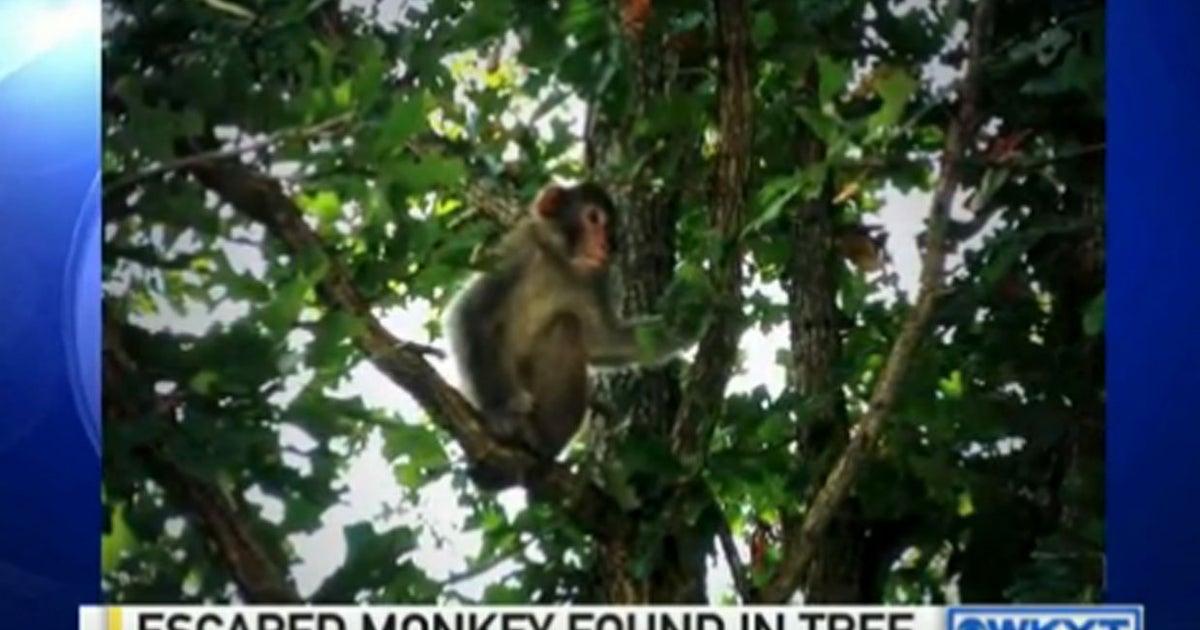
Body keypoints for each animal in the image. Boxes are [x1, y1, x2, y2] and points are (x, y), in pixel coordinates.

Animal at [444, 182, 695, 491]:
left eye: (610, 228)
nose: (606, 245)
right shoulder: (519, 252)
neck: (561, 261)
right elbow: (472, 313)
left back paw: (543, 441)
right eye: (593, 218)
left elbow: (604, 340)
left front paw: (690, 321)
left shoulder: (597, 277)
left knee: (567, 326)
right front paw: (500, 411)